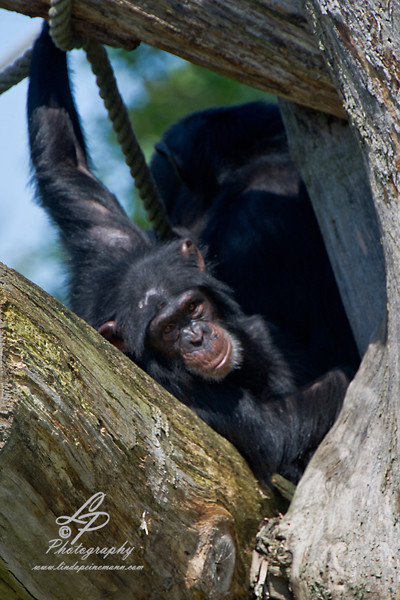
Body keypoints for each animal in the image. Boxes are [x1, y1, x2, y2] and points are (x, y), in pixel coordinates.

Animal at [27, 25, 354, 490]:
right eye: (167, 330)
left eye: (192, 309)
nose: (195, 337)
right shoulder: (182, 392)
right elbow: (272, 429)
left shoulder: (111, 241)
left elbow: (64, 166)